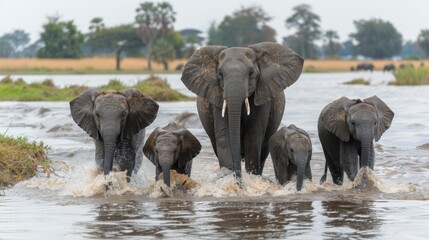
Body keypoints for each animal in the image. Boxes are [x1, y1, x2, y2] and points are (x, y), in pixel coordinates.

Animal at [181, 42, 304, 184]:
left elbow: (253, 136)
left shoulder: (262, 95)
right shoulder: (217, 96)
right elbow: (224, 136)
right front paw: (228, 176)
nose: (239, 183)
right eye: (220, 73)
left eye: (251, 73)